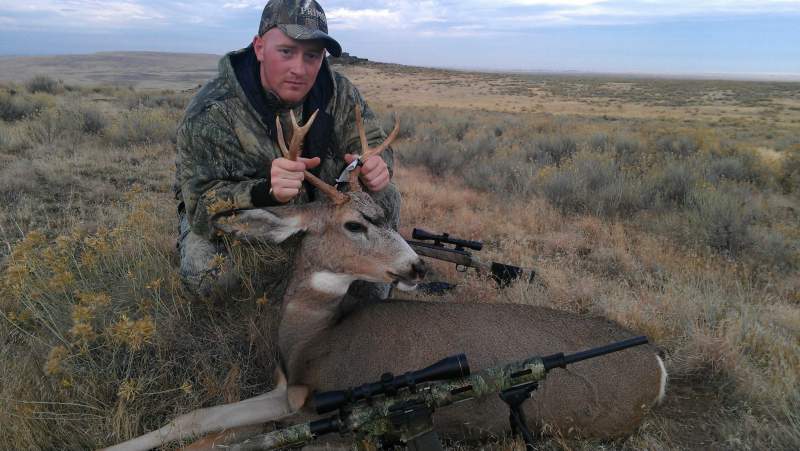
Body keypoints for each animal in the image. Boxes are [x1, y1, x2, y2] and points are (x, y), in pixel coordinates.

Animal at [106, 107, 668, 451]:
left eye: (384, 218)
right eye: (356, 224)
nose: (418, 266)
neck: (311, 338)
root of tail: (658, 361)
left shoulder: (313, 412)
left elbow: (215, 439)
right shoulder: (290, 394)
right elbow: (190, 420)